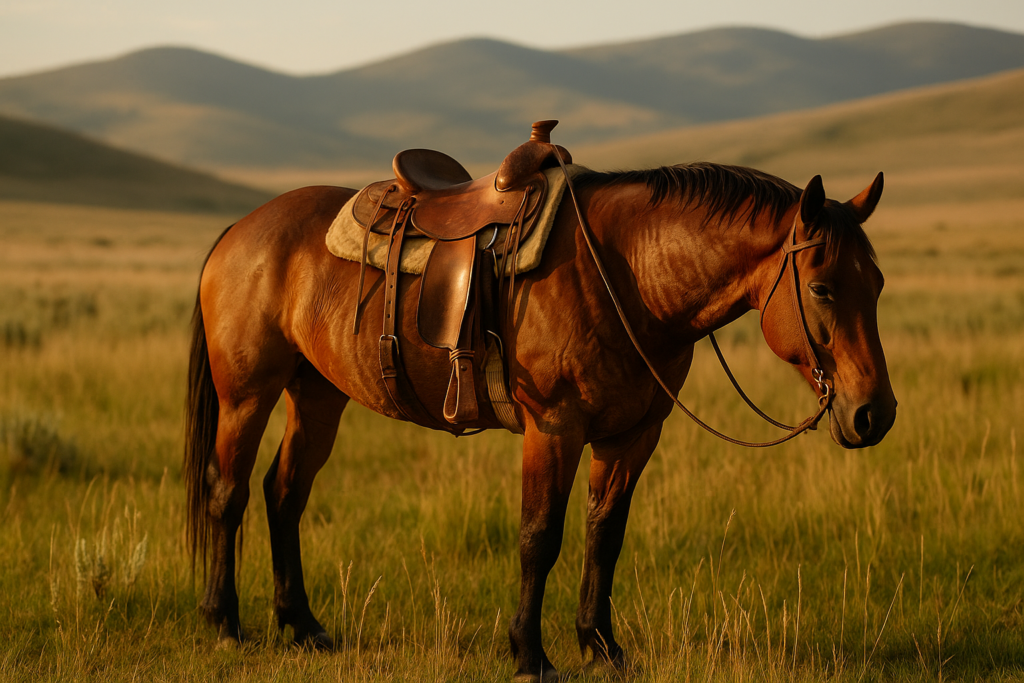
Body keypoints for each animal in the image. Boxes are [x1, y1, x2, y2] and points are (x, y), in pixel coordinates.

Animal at [184, 160, 896, 681]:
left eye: (879, 284)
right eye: (823, 287)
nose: (875, 413)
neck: (626, 277)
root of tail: (238, 230)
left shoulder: (632, 435)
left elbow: (604, 535)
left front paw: (601, 646)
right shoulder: (554, 430)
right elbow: (540, 537)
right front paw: (530, 655)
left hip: (318, 394)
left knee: (284, 494)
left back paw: (302, 625)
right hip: (247, 395)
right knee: (228, 493)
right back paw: (223, 623)